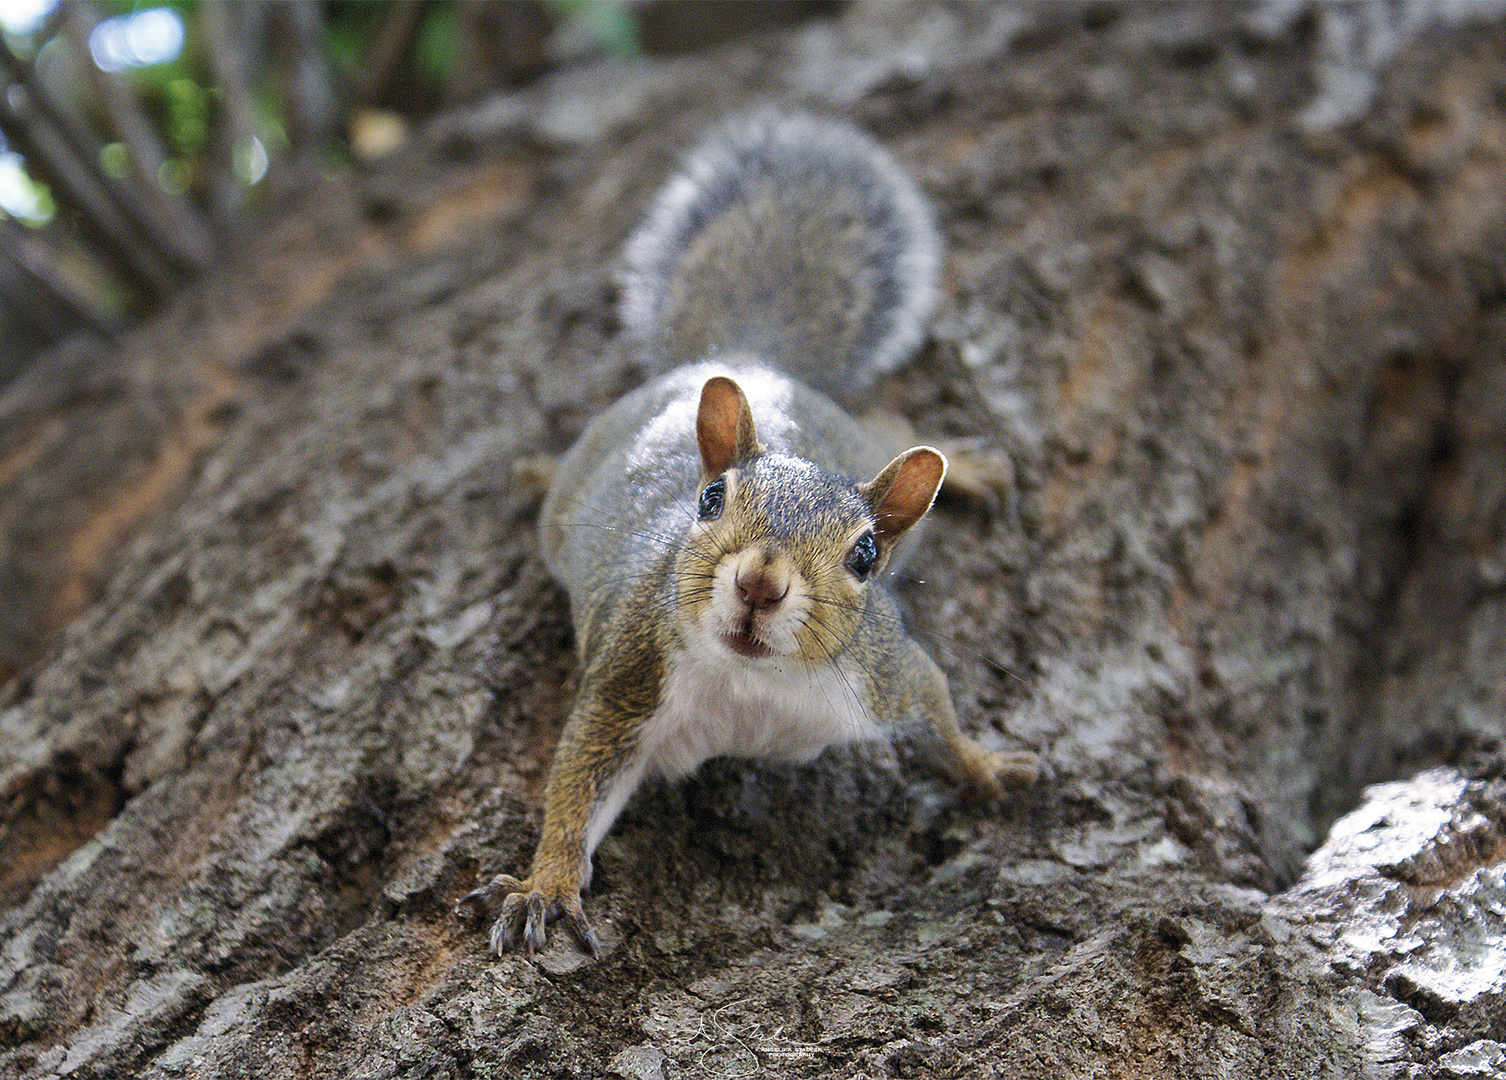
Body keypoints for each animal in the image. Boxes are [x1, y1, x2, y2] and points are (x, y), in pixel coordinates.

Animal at [457, 107, 1042, 951]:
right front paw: (546, 886)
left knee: (893, 426)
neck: (754, 686)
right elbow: (575, 786)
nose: (760, 582)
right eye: (709, 499)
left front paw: (988, 765)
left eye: (866, 553)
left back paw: (960, 465)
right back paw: (539, 469)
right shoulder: (628, 678)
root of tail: (751, 358)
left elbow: (940, 710)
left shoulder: (884, 673)